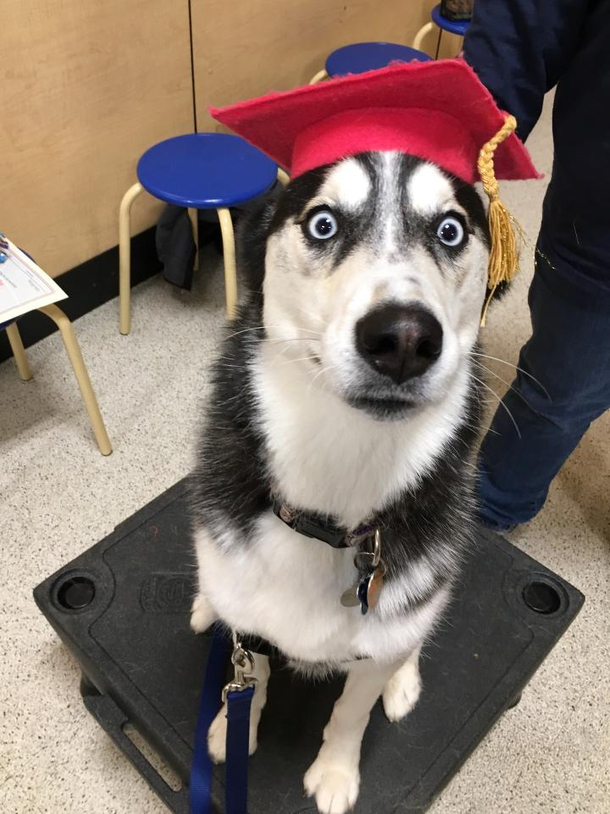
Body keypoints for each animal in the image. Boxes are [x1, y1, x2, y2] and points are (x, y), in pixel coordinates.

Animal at [190, 153, 490, 814]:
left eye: (450, 230)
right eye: (323, 223)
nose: (404, 338)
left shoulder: (378, 640)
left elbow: (352, 712)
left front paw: (334, 774)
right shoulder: (250, 618)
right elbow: (249, 675)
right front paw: (230, 727)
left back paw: (405, 679)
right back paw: (203, 605)